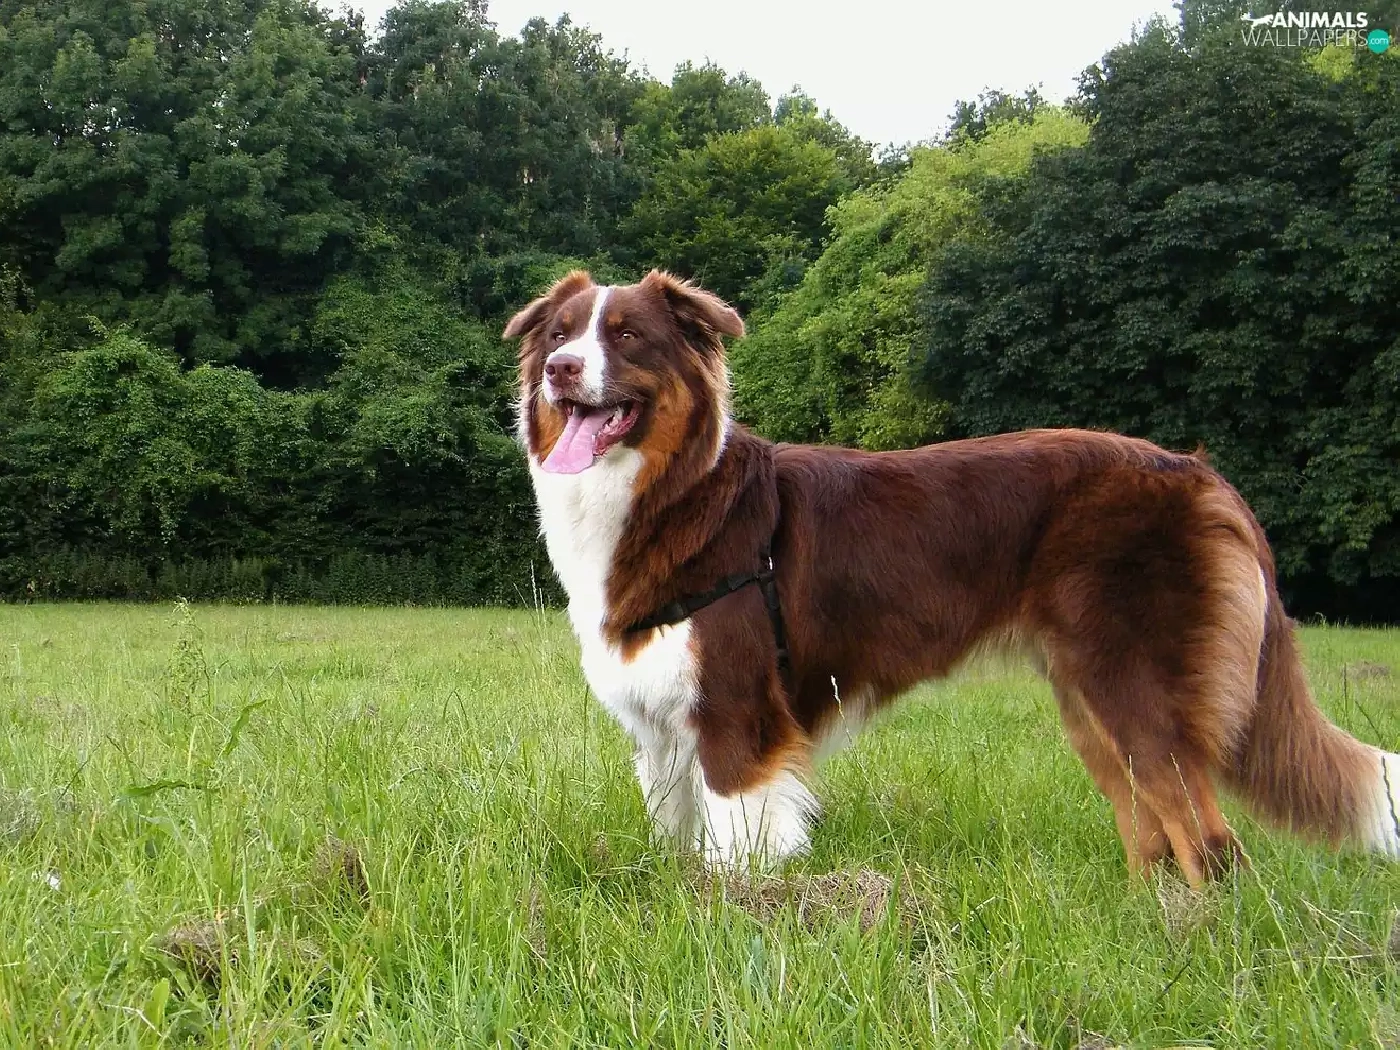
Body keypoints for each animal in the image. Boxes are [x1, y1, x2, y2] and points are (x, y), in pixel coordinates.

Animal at [505, 268, 1400, 885]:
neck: (671, 493)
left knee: (1212, 846)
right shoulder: (662, 732)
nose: (558, 369)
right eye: (559, 333)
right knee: (1155, 839)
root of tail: (1200, 473)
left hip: (1139, 689)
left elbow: (736, 852)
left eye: (627, 337)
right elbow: (676, 841)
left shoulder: (738, 718)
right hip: (1090, 703)